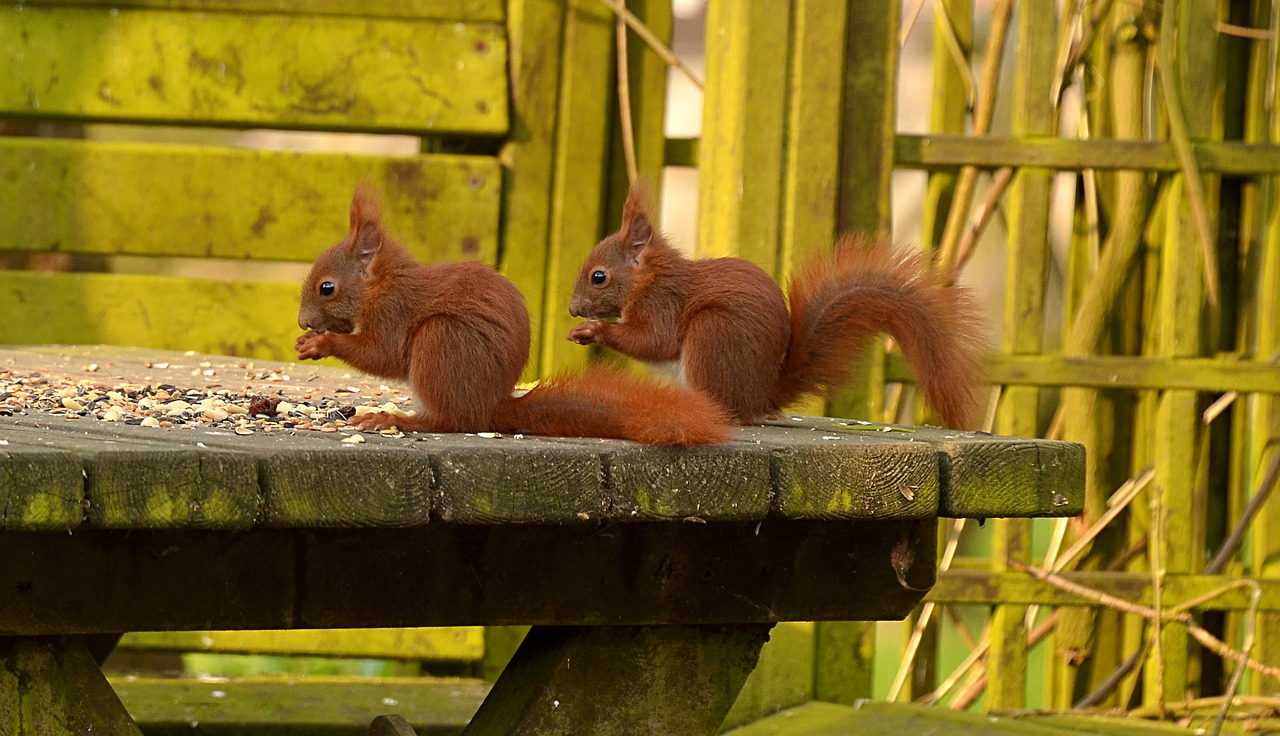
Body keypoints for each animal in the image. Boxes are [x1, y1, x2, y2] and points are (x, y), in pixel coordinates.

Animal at [293, 186, 732, 445]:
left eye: (327, 288)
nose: (302, 322)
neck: (379, 287)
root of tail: (488, 406)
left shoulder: (393, 314)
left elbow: (380, 355)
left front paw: (321, 342)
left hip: (440, 342)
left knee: (449, 422)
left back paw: (394, 419)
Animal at [565, 184, 983, 430]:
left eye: (599, 277)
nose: (571, 309)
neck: (647, 279)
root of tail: (760, 395)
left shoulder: (662, 304)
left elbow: (655, 342)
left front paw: (594, 330)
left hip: (712, 334)